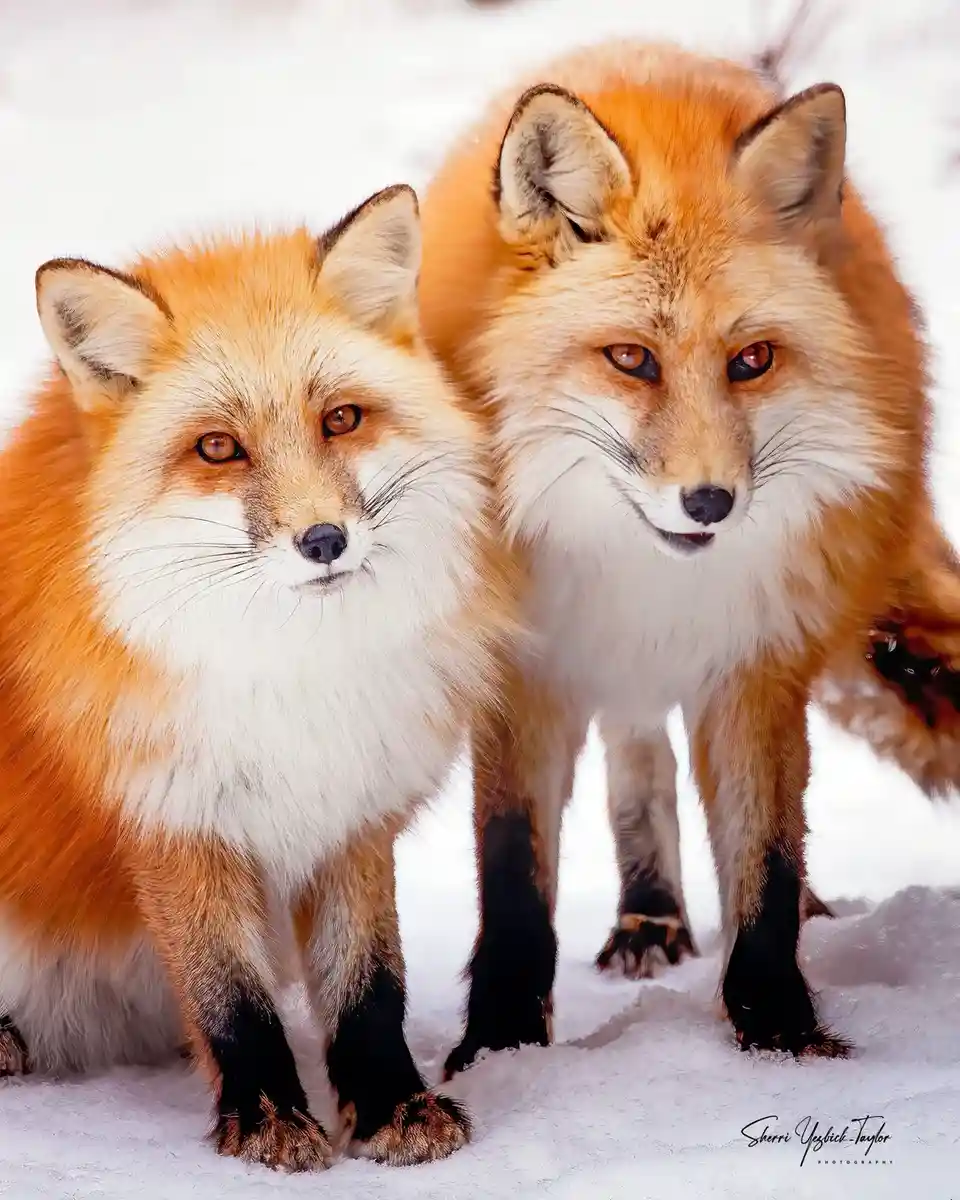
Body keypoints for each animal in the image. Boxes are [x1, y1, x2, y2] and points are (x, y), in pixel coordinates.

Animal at [0, 184, 512, 1170]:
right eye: (217, 448)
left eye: (341, 418)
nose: (324, 541)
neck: (290, 680)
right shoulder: (176, 817)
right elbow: (231, 1001)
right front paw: (268, 1119)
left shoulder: (352, 806)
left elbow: (368, 985)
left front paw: (391, 1106)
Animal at [417, 39, 960, 1073]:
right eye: (631, 359)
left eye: (753, 361)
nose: (711, 502)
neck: (647, 582)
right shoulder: (531, 670)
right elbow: (513, 878)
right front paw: (501, 1046)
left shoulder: (755, 660)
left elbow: (766, 868)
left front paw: (781, 1034)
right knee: (640, 763)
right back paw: (650, 914)